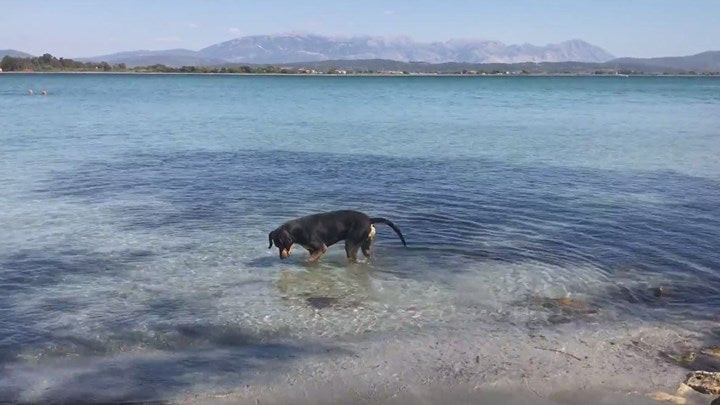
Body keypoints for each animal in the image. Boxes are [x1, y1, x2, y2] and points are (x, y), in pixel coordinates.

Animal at [268, 208, 408, 262]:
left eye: (281, 245)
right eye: (276, 245)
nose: (281, 258)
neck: (296, 231)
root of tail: (369, 219)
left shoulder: (321, 247)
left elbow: (309, 261)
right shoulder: (313, 250)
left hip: (350, 244)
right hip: (365, 245)